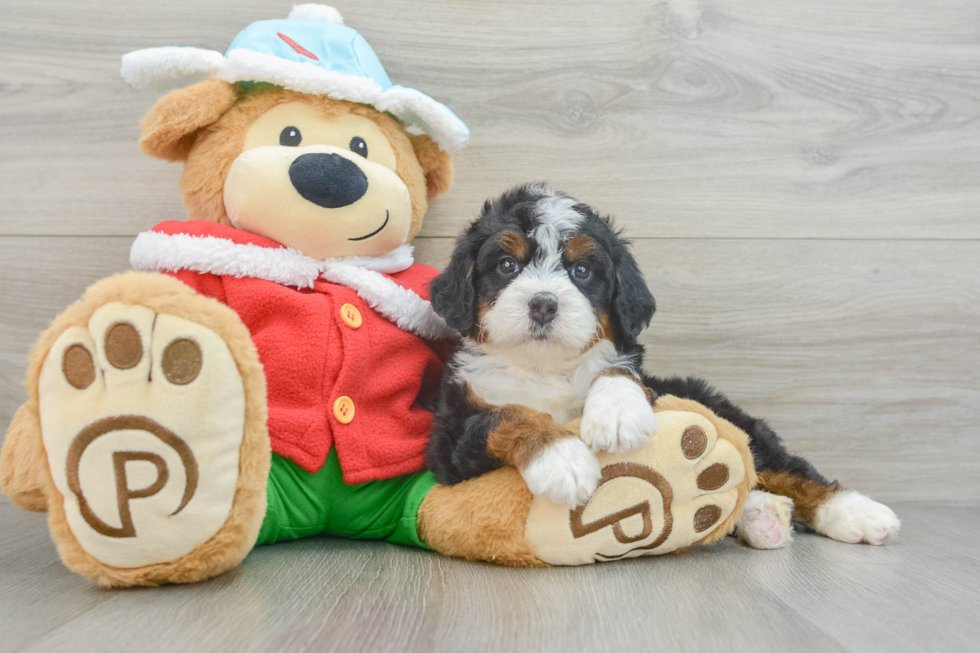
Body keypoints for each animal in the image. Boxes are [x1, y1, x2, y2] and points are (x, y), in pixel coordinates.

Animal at [428, 181, 660, 506]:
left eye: (582, 270)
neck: (543, 367)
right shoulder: (450, 443)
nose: (543, 305)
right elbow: (510, 414)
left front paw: (618, 412)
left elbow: (619, 369)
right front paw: (562, 458)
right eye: (507, 265)